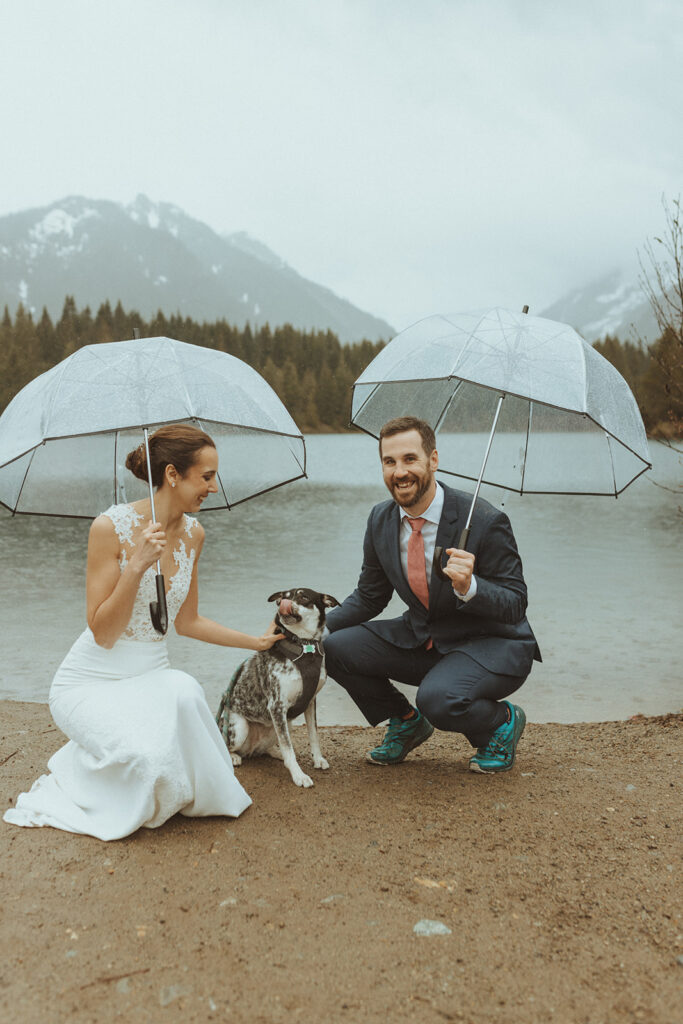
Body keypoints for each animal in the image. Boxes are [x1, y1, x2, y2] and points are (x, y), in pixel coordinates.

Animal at [216, 589, 339, 786]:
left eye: (304, 597)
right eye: (283, 597)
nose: (282, 603)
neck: (305, 646)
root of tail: (250, 749)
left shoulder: (310, 701)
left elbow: (313, 735)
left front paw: (318, 759)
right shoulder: (277, 705)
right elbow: (289, 747)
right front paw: (299, 775)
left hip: (283, 723)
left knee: (269, 747)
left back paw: (275, 752)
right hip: (241, 727)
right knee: (227, 744)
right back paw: (234, 756)